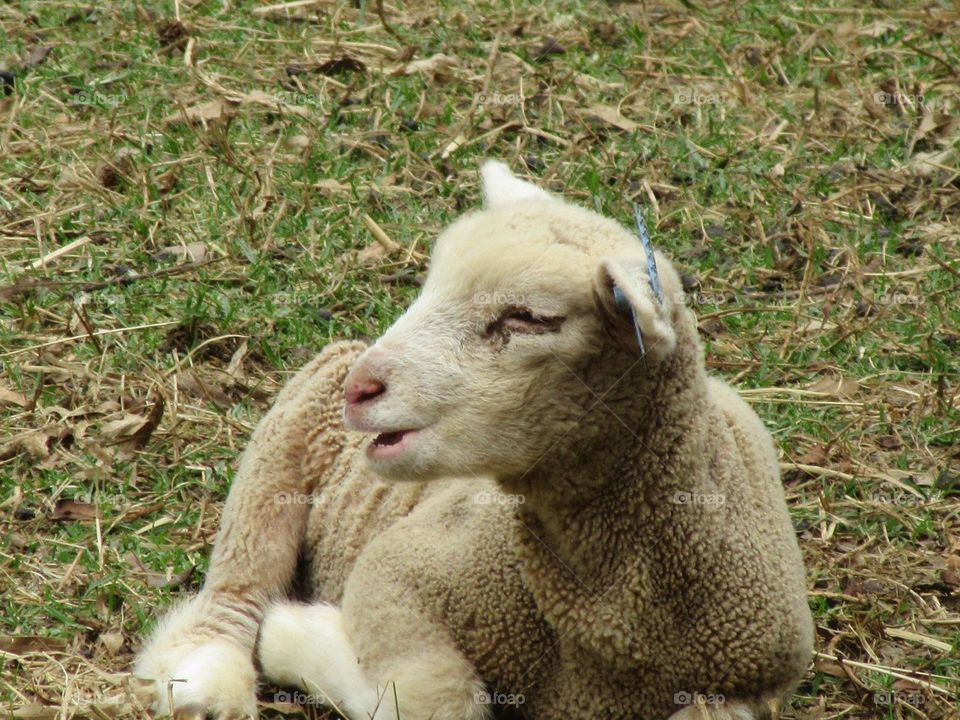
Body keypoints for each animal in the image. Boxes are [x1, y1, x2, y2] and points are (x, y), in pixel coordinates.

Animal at [135, 161, 814, 720]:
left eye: (529, 317)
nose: (363, 388)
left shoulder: (751, 684)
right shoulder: (398, 570)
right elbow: (435, 697)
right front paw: (294, 637)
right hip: (279, 459)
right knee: (236, 589)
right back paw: (209, 686)